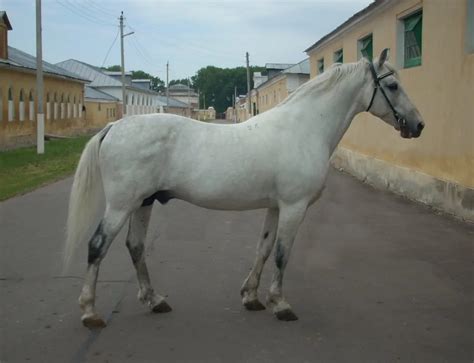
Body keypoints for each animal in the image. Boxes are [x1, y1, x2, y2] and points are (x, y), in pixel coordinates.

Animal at [65, 49, 424, 328]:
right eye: (392, 85)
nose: (418, 125)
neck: (304, 128)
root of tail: (114, 126)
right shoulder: (294, 207)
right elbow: (282, 254)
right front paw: (280, 304)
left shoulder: (276, 206)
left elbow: (263, 248)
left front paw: (251, 296)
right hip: (122, 205)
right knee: (97, 246)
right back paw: (89, 312)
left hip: (144, 202)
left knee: (136, 246)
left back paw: (155, 300)